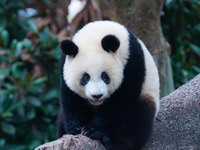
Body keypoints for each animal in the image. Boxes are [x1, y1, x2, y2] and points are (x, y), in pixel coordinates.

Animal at [56, 20, 159, 150]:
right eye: (85, 77)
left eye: (105, 76)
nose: (97, 95)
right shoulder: (63, 66)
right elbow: (71, 100)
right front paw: (75, 129)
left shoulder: (131, 63)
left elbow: (119, 101)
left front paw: (93, 130)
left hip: (147, 94)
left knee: (138, 121)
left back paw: (111, 141)